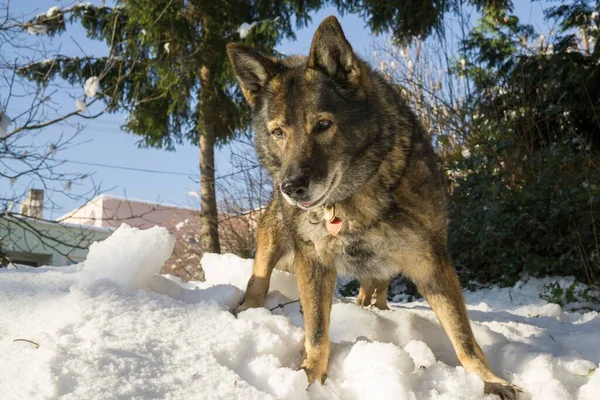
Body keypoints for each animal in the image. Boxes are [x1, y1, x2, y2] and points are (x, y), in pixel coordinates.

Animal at [227, 15, 516, 400]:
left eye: (323, 125)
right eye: (278, 132)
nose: (292, 188)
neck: (352, 198)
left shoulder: (431, 262)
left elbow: (463, 335)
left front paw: (490, 379)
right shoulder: (313, 260)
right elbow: (316, 331)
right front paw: (309, 376)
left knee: (375, 288)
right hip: (273, 237)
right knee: (258, 277)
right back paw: (248, 311)